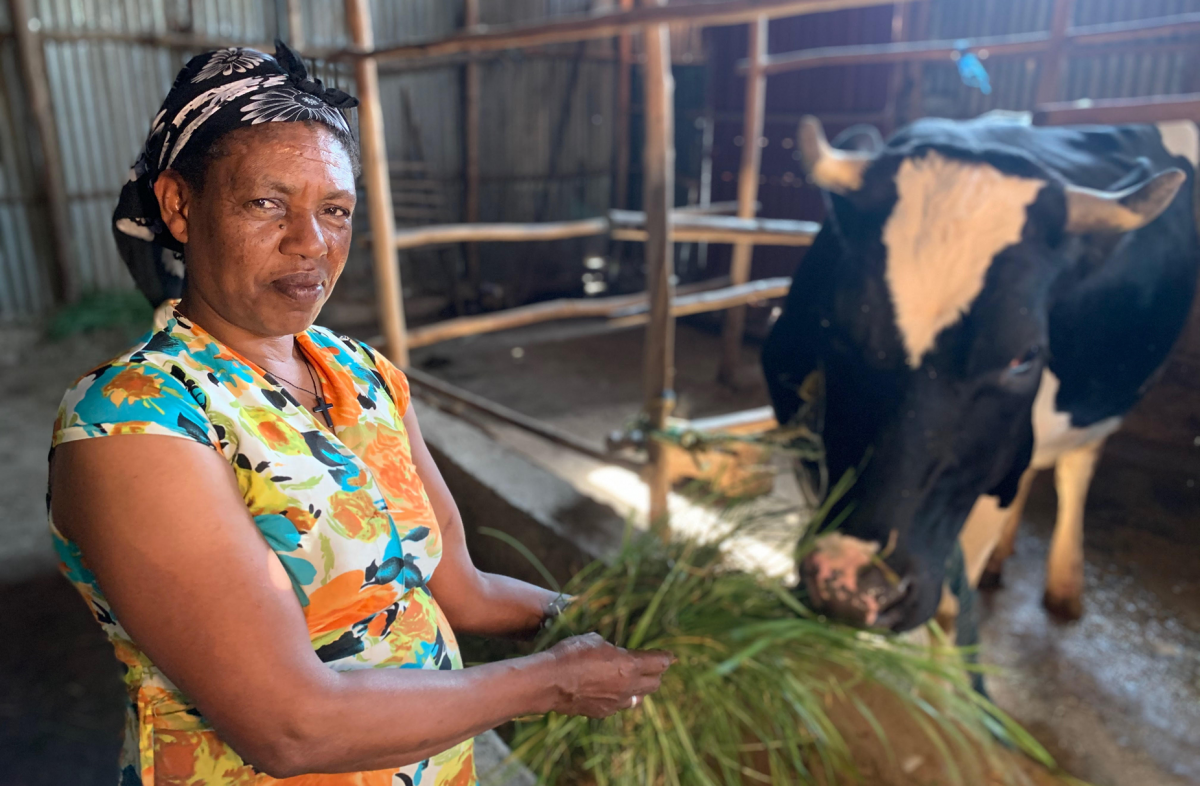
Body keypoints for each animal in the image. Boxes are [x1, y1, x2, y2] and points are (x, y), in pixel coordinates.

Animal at [763, 114, 1195, 633]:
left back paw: (1064, 586)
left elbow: (951, 613)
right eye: (835, 324)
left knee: (1075, 468)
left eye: (1024, 357)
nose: (854, 586)